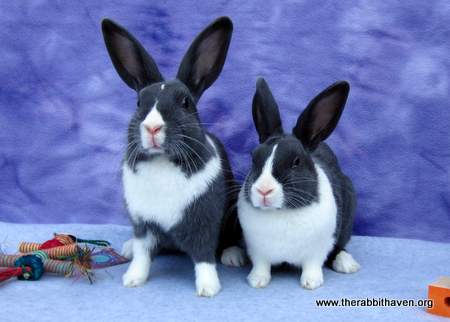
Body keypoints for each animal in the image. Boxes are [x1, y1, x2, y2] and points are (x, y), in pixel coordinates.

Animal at [100, 16, 241, 296]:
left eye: (185, 103)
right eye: (139, 103)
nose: (153, 127)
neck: (161, 162)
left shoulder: (204, 222)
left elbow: (204, 257)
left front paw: (208, 288)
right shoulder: (143, 225)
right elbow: (143, 254)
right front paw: (132, 279)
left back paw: (233, 256)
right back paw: (127, 248)